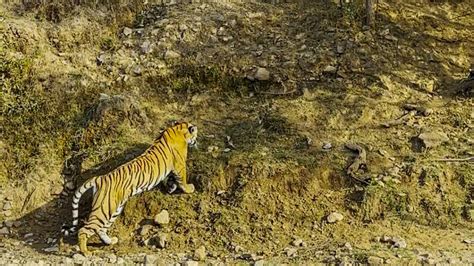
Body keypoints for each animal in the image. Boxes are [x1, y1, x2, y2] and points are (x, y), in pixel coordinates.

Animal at [61, 122, 198, 256]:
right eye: (195, 135)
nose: (196, 141)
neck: (178, 130)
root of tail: (100, 178)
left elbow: (170, 179)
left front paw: (171, 188)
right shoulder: (180, 165)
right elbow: (182, 179)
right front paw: (189, 188)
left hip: (113, 209)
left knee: (101, 229)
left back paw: (110, 241)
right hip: (103, 210)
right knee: (84, 230)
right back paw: (86, 252)